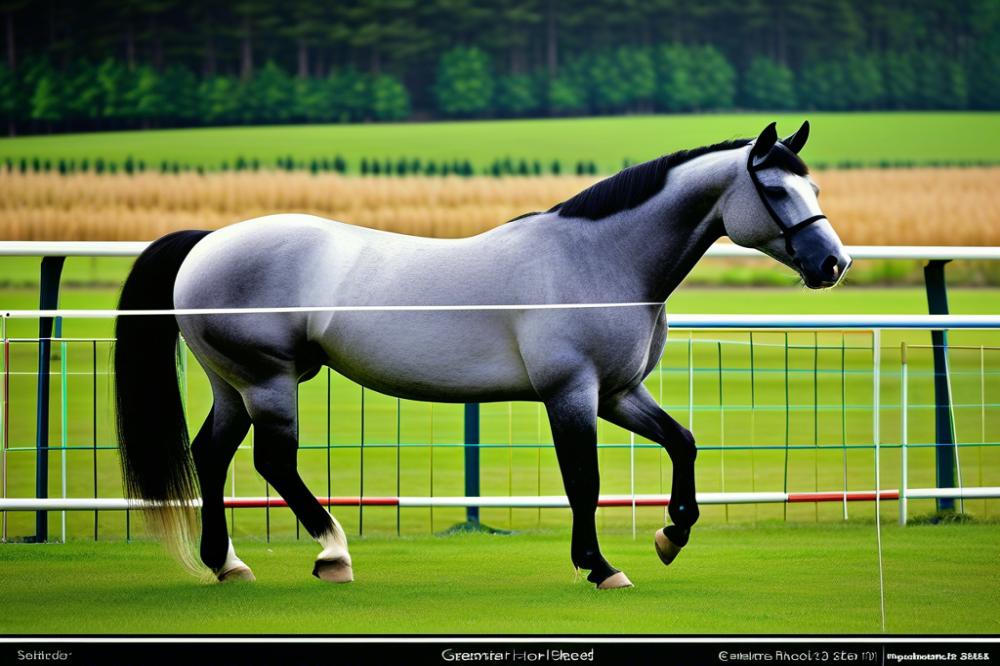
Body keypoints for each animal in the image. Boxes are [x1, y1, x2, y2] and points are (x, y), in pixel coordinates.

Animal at [117, 120, 852, 588]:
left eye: (815, 190)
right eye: (776, 190)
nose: (834, 263)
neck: (598, 259)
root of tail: (208, 241)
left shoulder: (619, 394)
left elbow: (683, 442)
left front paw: (672, 535)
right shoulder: (572, 394)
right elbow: (584, 482)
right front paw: (600, 566)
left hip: (233, 386)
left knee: (212, 454)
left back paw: (227, 564)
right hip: (267, 382)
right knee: (273, 461)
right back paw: (332, 553)